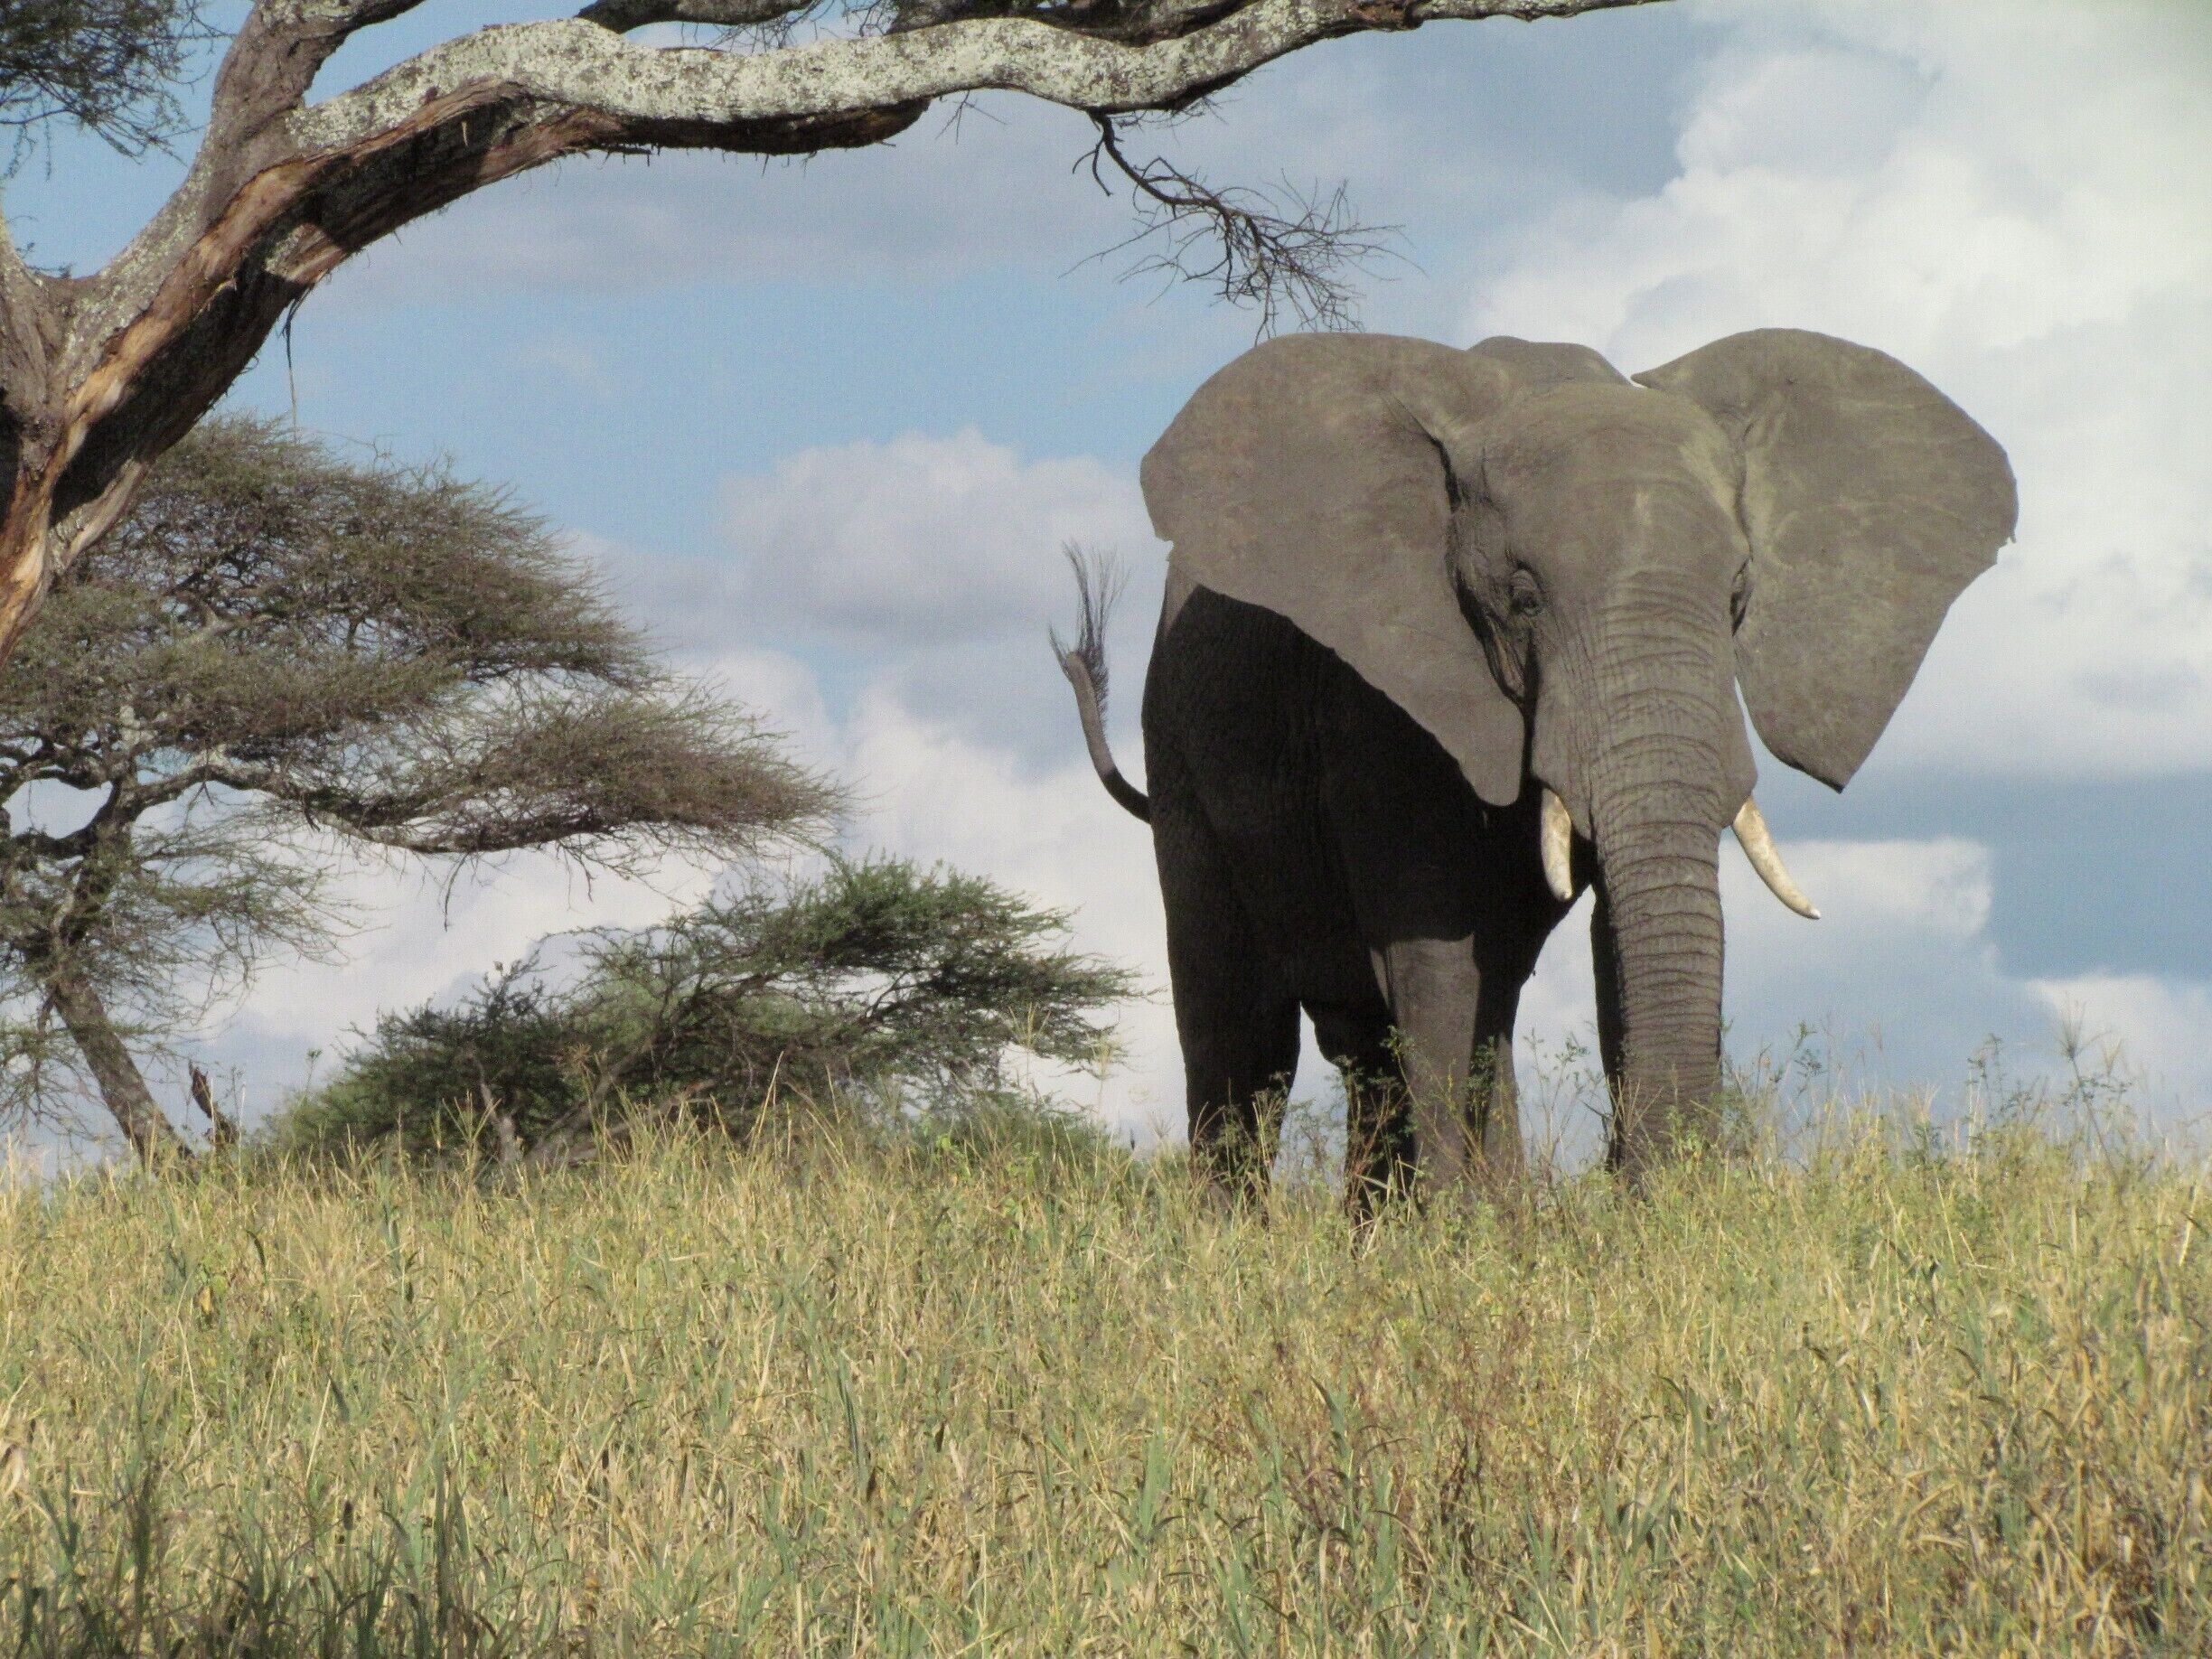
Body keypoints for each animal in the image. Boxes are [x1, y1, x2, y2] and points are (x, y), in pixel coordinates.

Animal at [1055, 328, 2016, 1203]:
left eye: (1739, 596)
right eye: (1521, 598)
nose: (1634, 1187)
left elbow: (1610, 936)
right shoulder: (1382, 696)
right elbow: (1438, 958)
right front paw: (1457, 1239)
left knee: (1391, 1033)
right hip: (1179, 745)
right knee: (1242, 1024)